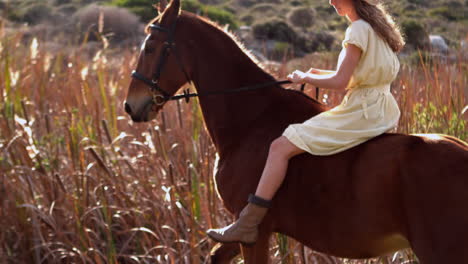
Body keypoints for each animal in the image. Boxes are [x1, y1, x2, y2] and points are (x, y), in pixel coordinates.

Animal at [124, 1, 468, 262]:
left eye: (150, 47)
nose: (131, 106)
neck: (252, 121)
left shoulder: (255, 236)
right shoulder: (240, 236)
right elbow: (215, 255)